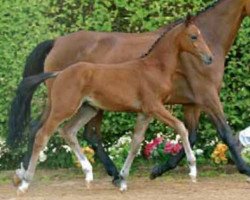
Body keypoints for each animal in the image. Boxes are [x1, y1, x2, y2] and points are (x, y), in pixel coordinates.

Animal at [14, 17, 212, 194]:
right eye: (194, 36)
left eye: (201, 34)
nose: (209, 58)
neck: (153, 68)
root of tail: (59, 73)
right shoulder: (155, 107)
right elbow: (181, 127)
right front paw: (193, 170)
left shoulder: (145, 113)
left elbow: (135, 143)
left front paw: (123, 179)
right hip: (63, 109)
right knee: (42, 135)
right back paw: (25, 183)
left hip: (88, 109)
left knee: (68, 131)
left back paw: (88, 175)